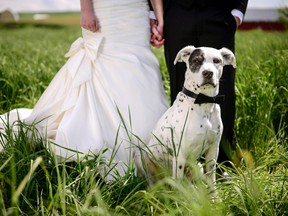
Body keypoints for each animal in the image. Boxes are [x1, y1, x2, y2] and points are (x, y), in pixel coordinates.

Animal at [136, 46, 235, 195]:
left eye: (217, 60)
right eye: (196, 60)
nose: (208, 73)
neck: (203, 102)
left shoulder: (213, 149)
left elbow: (211, 178)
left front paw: (214, 198)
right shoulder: (180, 153)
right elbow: (178, 181)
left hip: (198, 166)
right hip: (144, 158)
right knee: (154, 182)